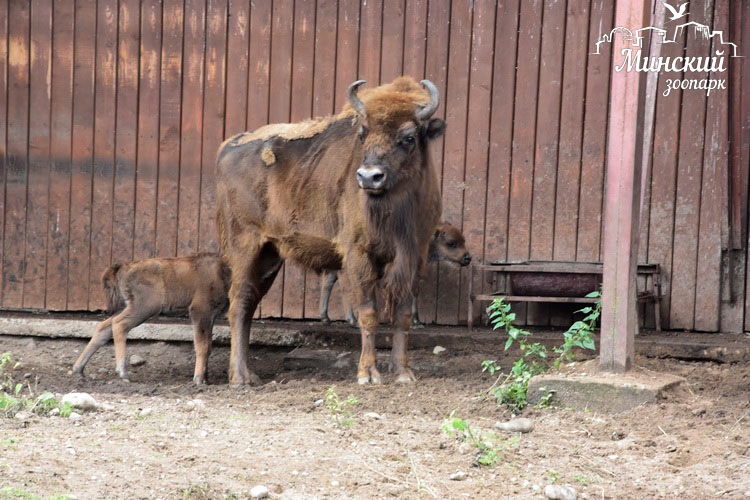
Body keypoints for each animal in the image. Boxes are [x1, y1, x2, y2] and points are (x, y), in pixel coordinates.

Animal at [72, 252, 229, 384]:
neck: (224, 271)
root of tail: (122, 267)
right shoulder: (201, 311)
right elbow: (203, 346)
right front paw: (199, 380)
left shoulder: (210, 316)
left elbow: (208, 345)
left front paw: (206, 379)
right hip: (144, 308)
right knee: (119, 324)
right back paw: (123, 373)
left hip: (129, 307)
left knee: (104, 327)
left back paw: (78, 369)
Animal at [219, 76, 446, 384]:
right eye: (362, 133)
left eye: (409, 137)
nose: (369, 177)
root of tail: (227, 147)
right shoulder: (359, 254)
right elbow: (368, 312)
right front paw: (368, 374)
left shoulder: (414, 257)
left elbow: (402, 315)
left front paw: (403, 373)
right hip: (245, 244)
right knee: (239, 302)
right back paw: (241, 378)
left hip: (270, 254)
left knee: (250, 304)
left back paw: (248, 375)